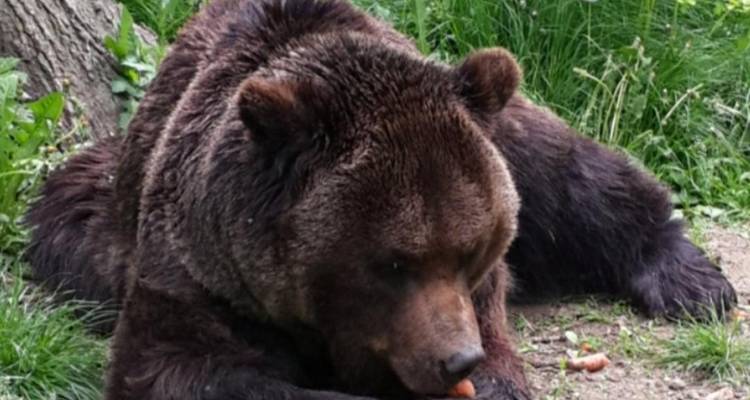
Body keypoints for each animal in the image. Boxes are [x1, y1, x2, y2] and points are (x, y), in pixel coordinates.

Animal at [25, 0, 736, 399]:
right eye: (393, 263)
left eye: (470, 252)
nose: (457, 357)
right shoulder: (200, 273)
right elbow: (179, 367)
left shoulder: (482, 294)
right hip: (93, 225)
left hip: (499, 122)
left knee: (570, 173)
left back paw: (692, 280)